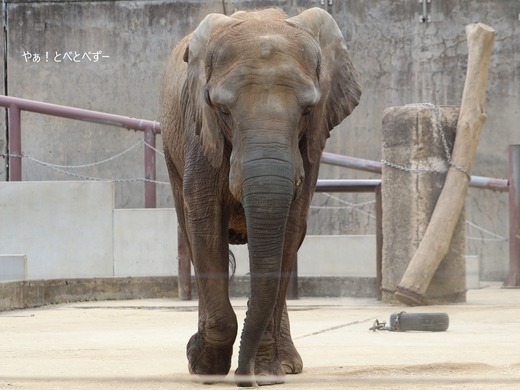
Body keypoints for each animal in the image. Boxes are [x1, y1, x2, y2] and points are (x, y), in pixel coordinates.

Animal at [160, 6, 360, 386]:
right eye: (222, 110)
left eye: (308, 111)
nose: (244, 376)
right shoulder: (199, 133)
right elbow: (204, 224)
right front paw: (205, 366)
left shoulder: (309, 149)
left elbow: (290, 228)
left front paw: (266, 374)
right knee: (188, 232)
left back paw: (287, 364)